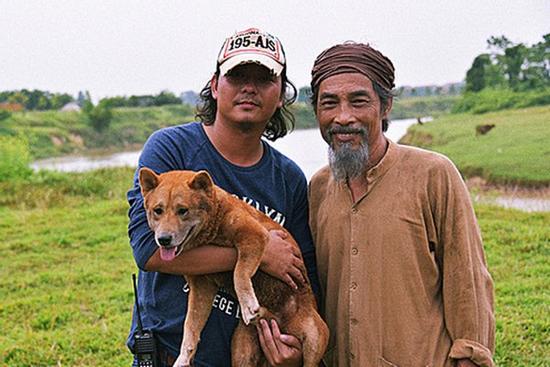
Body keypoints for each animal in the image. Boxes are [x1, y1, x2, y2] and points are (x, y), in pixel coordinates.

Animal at [139, 169, 328, 367]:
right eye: (158, 211)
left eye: (183, 210)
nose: (163, 239)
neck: (213, 226)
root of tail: (282, 323)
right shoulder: (201, 287)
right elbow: (190, 324)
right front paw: (183, 357)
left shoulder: (253, 235)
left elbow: (239, 272)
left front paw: (247, 304)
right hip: (242, 348)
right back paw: (262, 314)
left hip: (317, 337)